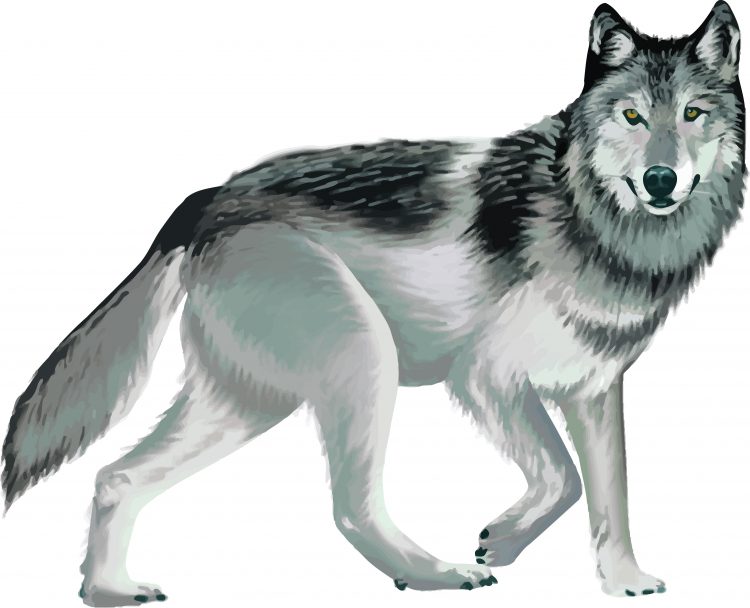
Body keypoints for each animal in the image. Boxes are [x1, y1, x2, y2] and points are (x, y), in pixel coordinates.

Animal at [1, 1, 744, 604]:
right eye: (632, 116)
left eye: (692, 114)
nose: (661, 179)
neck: (592, 215)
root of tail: (209, 198)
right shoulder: (487, 377)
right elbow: (565, 480)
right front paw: (500, 541)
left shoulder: (595, 391)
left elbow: (611, 495)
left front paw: (625, 581)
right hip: (364, 360)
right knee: (348, 507)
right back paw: (436, 574)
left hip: (247, 407)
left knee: (114, 478)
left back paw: (106, 592)